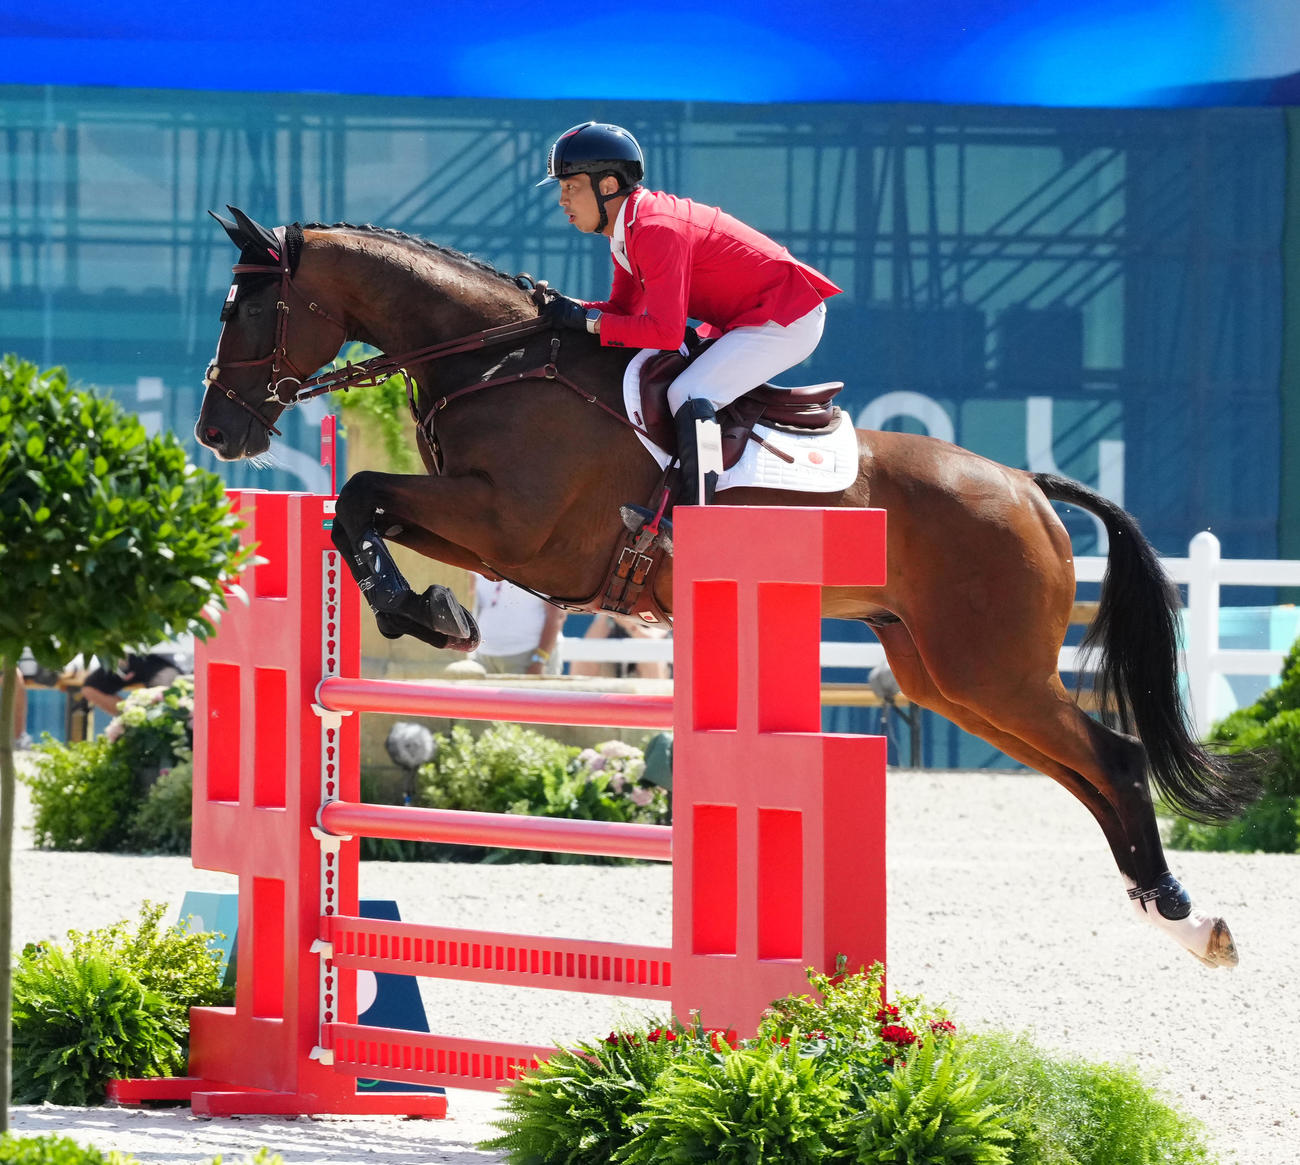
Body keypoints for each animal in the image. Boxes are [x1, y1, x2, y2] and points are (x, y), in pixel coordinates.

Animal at [196, 205, 1262, 968]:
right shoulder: (475, 522)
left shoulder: (513, 528)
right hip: (949, 679)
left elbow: (361, 496)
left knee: (1115, 759)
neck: (493, 359)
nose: (217, 430)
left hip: (991, 671)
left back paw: (1184, 912)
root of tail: (1028, 485)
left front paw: (427, 611)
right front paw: (429, 608)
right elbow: (360, 512)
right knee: (1086, 774)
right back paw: (1175, 916)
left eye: (242, 309)